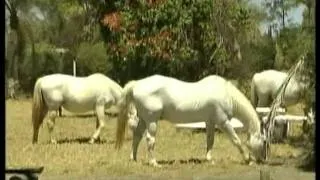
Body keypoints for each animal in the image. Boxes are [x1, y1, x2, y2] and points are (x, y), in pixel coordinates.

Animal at [116, 74, 266, 167]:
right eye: (264, 141)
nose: (262, 160)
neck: (226, 94)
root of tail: (137, 84)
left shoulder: (210, 122)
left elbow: (210, 140)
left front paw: (209, 159)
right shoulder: (223, 122)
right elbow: (236, 140)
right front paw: (247, 159)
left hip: (143, 119)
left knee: (137, 136)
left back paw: (133, 159)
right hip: (152, 121)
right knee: (149, 139)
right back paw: (154, 163)